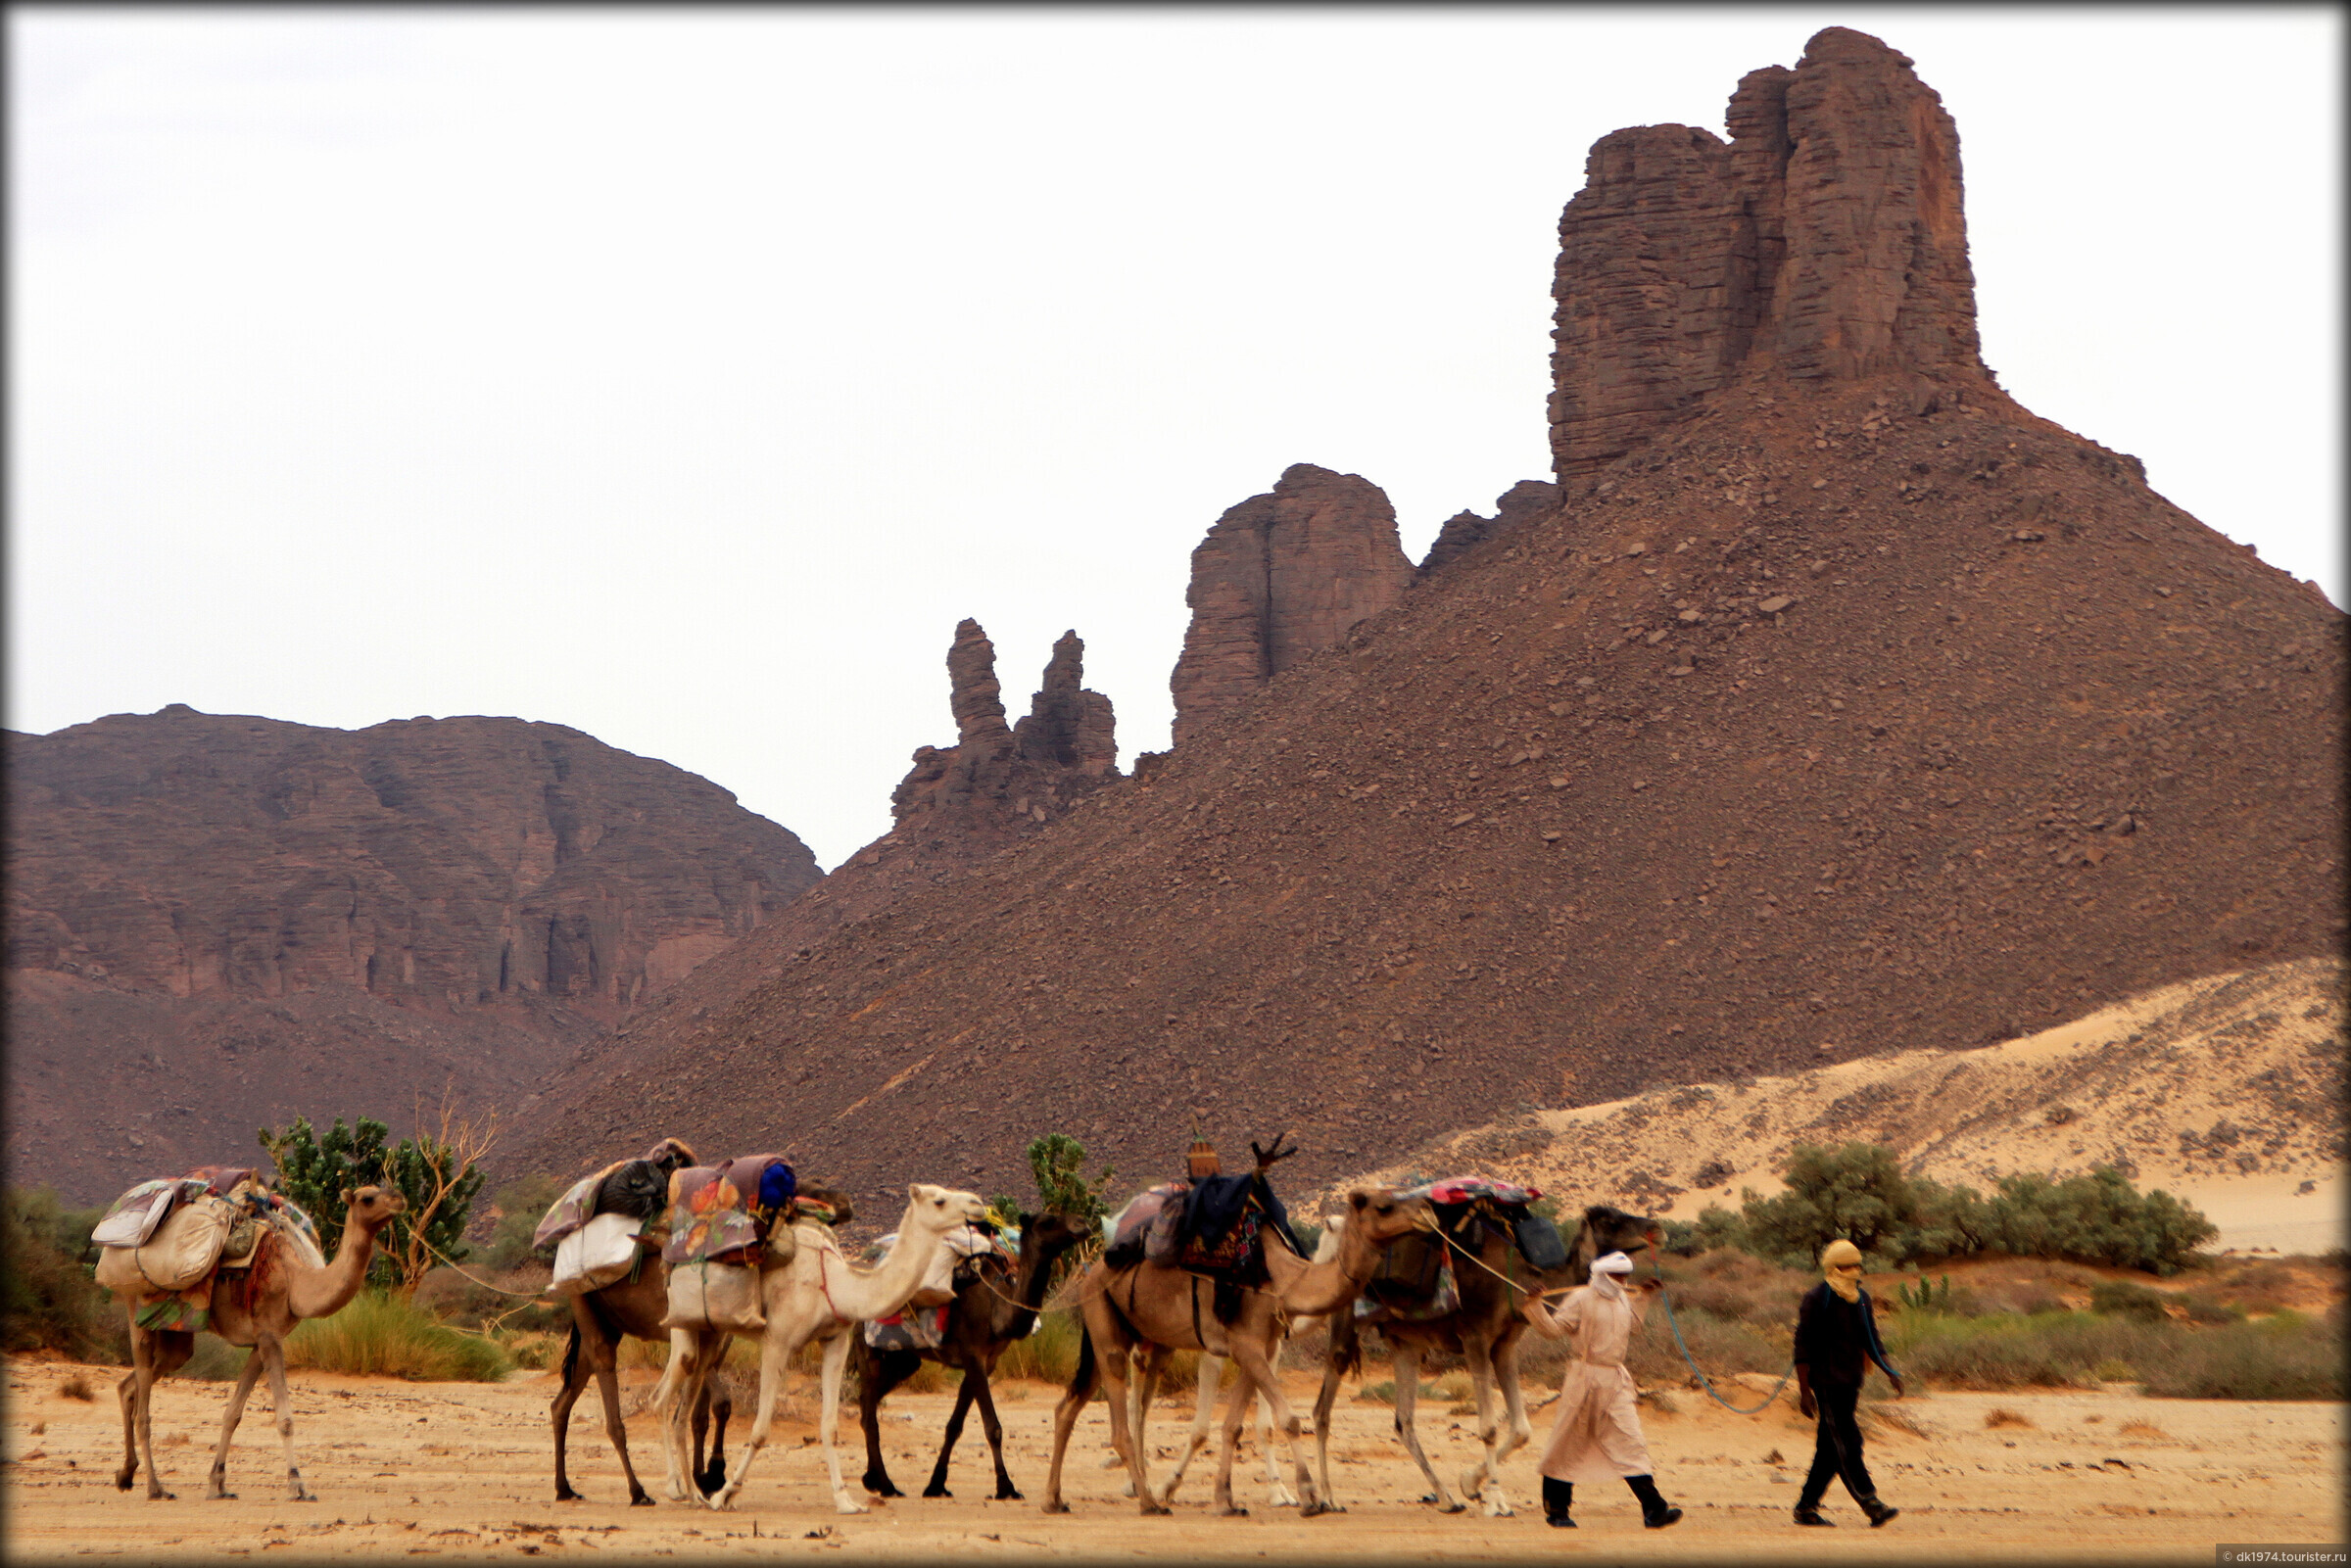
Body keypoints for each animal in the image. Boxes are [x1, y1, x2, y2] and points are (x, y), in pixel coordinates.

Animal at [112, 1184, 404, 1504]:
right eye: (368, 1198)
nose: (399, 1200)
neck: (295, 1278)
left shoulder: (260, 1340)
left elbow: (233, 1414)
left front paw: (218, 1484)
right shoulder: (269, 1335)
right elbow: (285, 1417)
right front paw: (297, 1485)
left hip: (175, 1328)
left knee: (132, 1385)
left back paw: (126, 1475)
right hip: (137, 1304)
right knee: (142, 1405)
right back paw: (155, 1487)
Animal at [855, 1212, 1090, 1504]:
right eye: (1047, 1221)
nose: (1082, 1224)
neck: (996, 1307)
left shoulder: (984, 1362)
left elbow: (954, 1426)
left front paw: (936, 1485)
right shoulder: (973, 1355)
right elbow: (993, 1427)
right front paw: (1006, 1487)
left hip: (903, 1359)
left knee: (867, 1406)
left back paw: (872, 1479)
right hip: (868, 1350)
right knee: (869, 1414)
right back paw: (887, 1485)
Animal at [1048, 1184, 1429, 1513]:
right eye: (1384, 1206)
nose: (1426, 1212)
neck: (1282, 1279)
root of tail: (1092, 1270)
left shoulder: (1259, 1347)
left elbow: (1235, 1426)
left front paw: (1227, 1499)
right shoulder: (1240, 1346)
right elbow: (1286, 1419)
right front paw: (1310, 1496)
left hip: (1126, 1333)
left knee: (1072, 1404)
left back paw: (1055, 1498)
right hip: (1106, 1321)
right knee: (1122, 1416)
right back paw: (1147, 1500)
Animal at [1317, 1203, 1664, 1523]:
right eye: (1610, 1221)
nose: (1657, 1229)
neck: (1516, 1278)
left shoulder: (1505, 1345)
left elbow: (1522, 1429)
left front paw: (1469, 1485)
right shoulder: (1475, 1337)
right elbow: (1488, 1426)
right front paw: (1497, 1502)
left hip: (1406, 1343)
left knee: (1404, 1421)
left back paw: (1447, 1499)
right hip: (1346, 1318)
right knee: (1323, 1406)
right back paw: (1326, 1499)